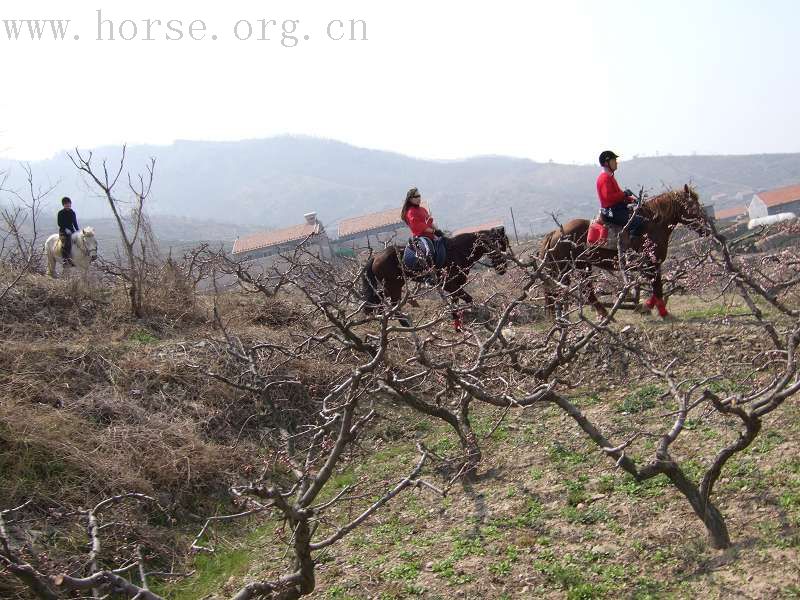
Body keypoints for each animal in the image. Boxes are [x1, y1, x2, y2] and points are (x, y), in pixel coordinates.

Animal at [360, 226, 510, 328]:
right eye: (499, 245)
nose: (502, 269)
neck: (458, 251)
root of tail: (376, 257)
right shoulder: (450, 284)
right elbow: (468, 299)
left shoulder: (455, 286)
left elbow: (456, 301)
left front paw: (457, 319)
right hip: (393, 285)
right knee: (389, 304)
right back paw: (405, 324)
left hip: (392, 285)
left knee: (378, 298)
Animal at [540, 185, 708, 318]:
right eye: (693, 207)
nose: (706, 228)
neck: (653, 224)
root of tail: (554, 233)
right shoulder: (651, 263)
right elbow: (657, 288)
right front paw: (660, 312)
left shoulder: (653, 265)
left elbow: (656, 288)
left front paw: (645, 307)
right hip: (568, 268)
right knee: (566, 292)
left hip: (580, 266)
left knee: (580, 291)